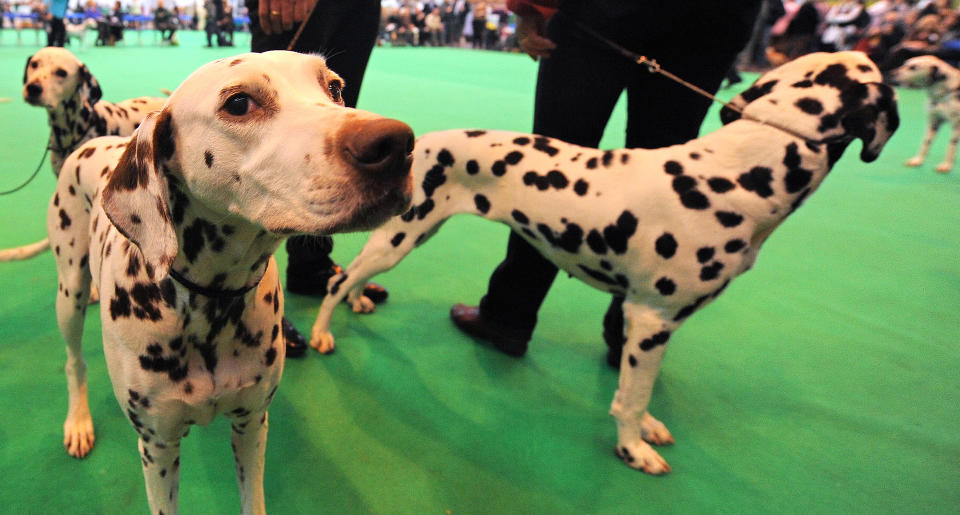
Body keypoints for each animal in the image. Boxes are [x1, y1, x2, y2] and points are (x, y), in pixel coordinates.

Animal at [48, 49, 414, 515]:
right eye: (239, 103)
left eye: (334, 87)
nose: (397, 143)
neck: (212, 303)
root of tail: (93, 143)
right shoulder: (158, 447)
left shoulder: (252, 424)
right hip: (70, 293)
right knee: (73, 361)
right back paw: (78, 421)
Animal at [310, 52, 900, 476]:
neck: (737, 172)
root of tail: (422, 141)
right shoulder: (651, 319)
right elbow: (630, 398)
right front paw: (633, 449)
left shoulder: (654, 324)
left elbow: (636, 387)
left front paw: (648, 429)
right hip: (399, 239)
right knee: (337, 280)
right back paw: (322, 332)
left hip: (408, 236)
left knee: (353, 277)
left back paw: (360, 302)